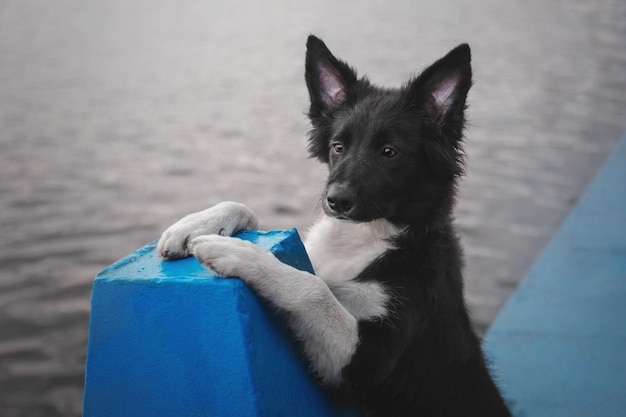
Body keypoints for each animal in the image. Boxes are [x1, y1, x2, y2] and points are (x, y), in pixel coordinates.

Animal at [155, 36, 508, 416]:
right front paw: (197, 224)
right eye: (338, 147)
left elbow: (313, 289)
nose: (335, 200)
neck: (368, 239)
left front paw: (239, 254)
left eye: (389, 152)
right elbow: (248, 210)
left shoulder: (363, 367)